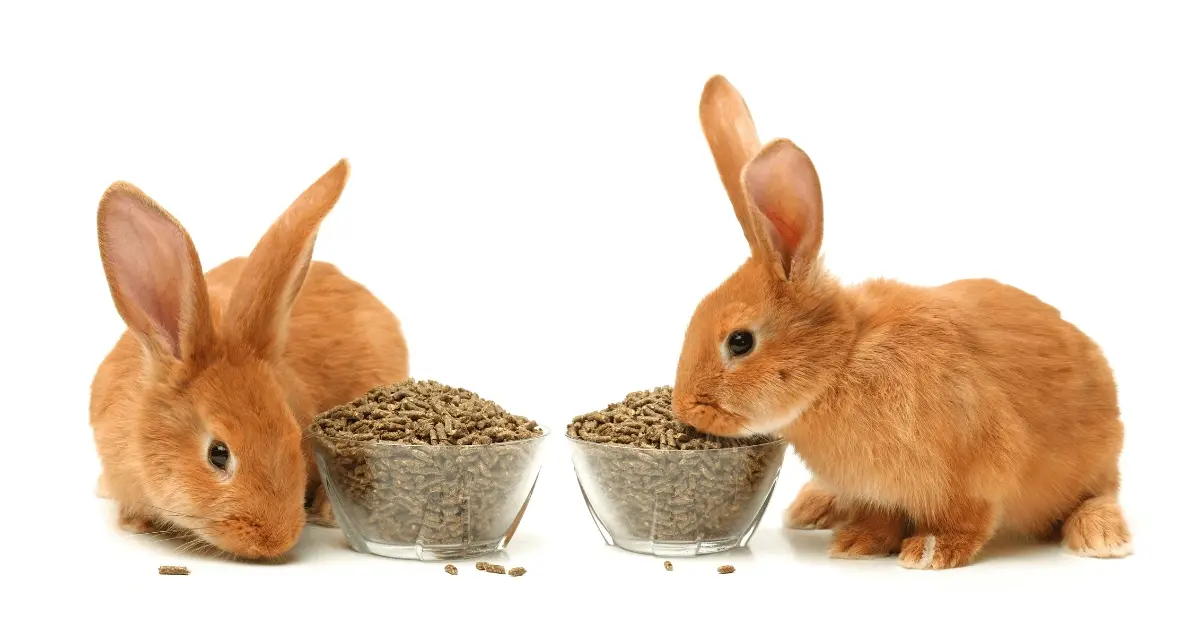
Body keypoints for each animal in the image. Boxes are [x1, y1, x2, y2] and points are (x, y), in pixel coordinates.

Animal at [672, 75, 1128, 568]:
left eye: (740, 342)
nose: (685, 410)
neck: (840, 364)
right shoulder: (878, 494)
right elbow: (880, 518)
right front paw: (857, 544)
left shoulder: (976, 469)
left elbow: (967, 519)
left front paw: (930, 551)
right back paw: (811, 508)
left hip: (1093, 466)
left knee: (1098, 495)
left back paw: (1103, 538)